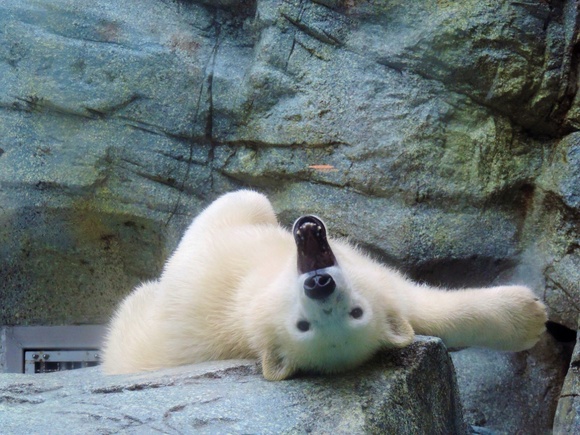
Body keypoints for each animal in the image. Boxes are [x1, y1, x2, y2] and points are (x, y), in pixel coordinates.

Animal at [103, 191, 548, 382]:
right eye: (303, 326)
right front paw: (534, 315)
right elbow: (243, 203)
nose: (320, 283)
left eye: (357, 312)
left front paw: (530, 317)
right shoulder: (214, 273)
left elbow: (419, 306)